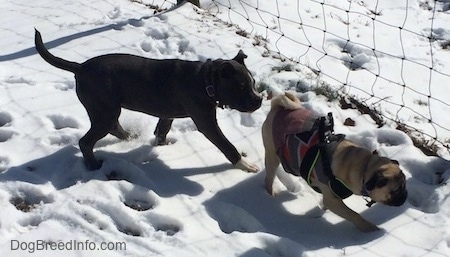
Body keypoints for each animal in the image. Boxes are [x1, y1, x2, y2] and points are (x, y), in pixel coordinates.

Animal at [35, 29, 262, 170]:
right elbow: (226, 145)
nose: (259, 101)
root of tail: (80, 67)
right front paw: (244, 164)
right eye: (241, 87)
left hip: (106, 111)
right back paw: (93, 165)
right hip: (104, 111)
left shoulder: (168, 114)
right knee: (86, 141)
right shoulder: (207, 123)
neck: (206, 81)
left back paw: (130, 138)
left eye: (253, 83)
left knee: (113, 128)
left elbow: (162, 130)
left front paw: (162, 146)